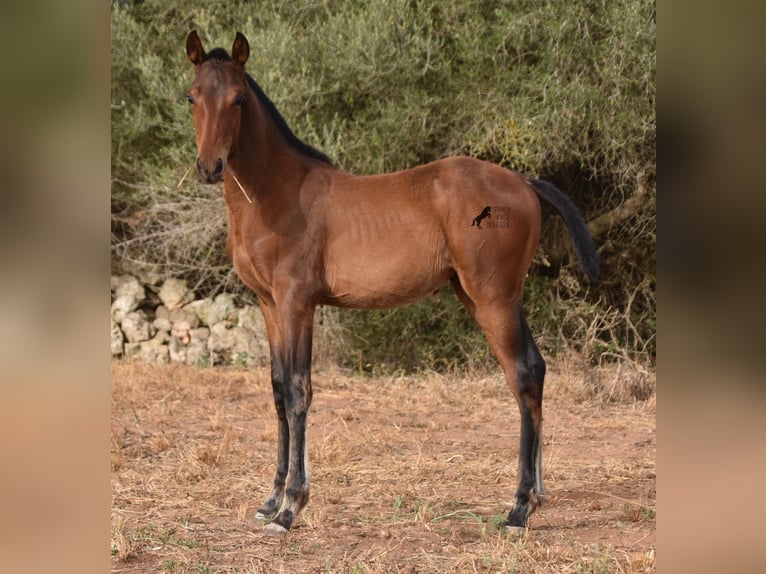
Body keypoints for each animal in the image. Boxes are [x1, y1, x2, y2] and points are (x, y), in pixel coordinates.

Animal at [186, 30, 600, 536]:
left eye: (239, 99)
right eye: (192, 96)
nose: (210, 166)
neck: (275, 192)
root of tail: (523, 181)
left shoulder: (297, 302)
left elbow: (300, 390)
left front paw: (290, 507)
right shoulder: (268, 304)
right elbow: (279, 389)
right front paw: (270, 499)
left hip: (494, 298)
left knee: (522, 374)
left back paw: (519, 509)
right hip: (486, 296)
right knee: (535, 370)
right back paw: (537, 496)